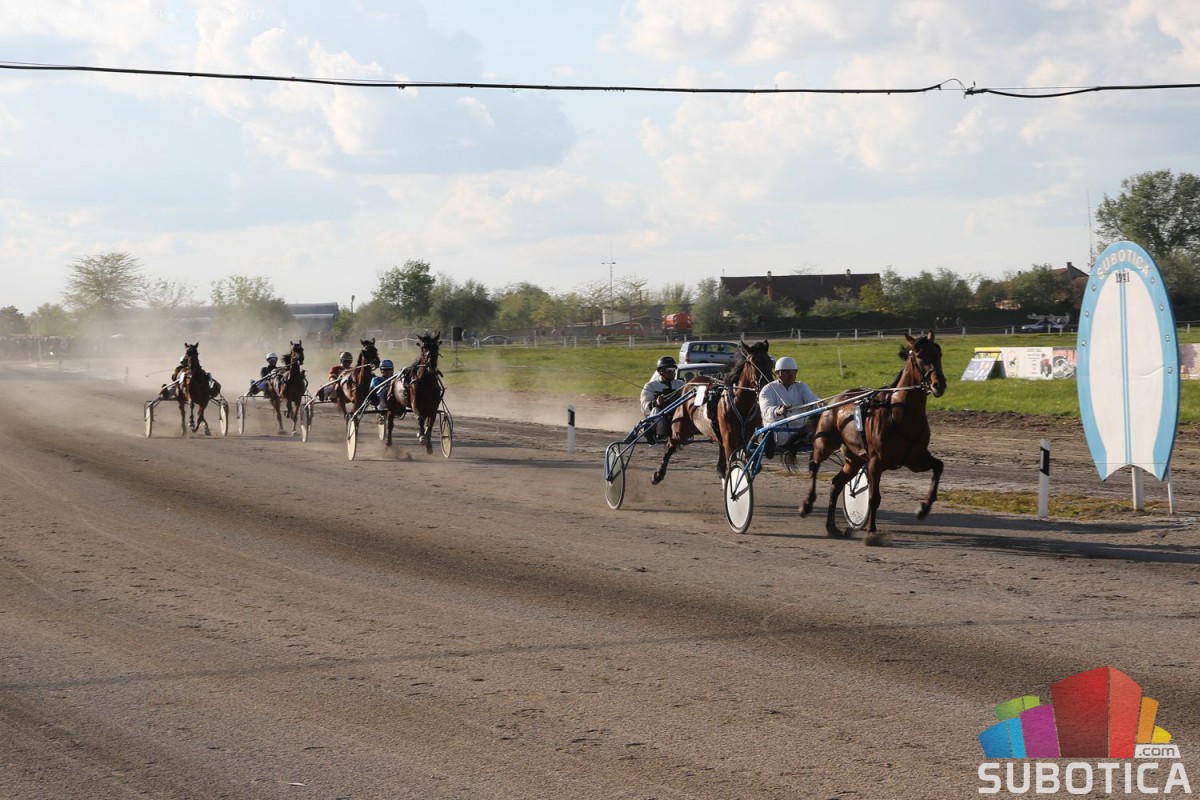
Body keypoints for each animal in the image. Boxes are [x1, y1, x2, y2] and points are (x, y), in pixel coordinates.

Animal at [651, 339, 774, 485]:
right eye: (753, 361)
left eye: (770, 362)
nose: (768, 384)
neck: (741, 404)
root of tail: (690, 383)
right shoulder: (730, 439)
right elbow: (733, 463)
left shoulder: (746, 437)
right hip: (680, 428)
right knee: (670, 444)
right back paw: (658, 474)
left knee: (719, 465)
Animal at [793, 331, 947, 546]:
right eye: (919, 355)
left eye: (939, 353)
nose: (938, 384)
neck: (900, 414)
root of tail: (834, 401)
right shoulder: (876, 462)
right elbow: (874, 497)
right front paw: (872, 532)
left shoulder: (915, 459)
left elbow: (939, 466)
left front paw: (923, 508)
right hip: (825, 443)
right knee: (814, 465)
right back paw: (807, 504)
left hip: (854, 458)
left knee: (836, 484)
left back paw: (831, 527)